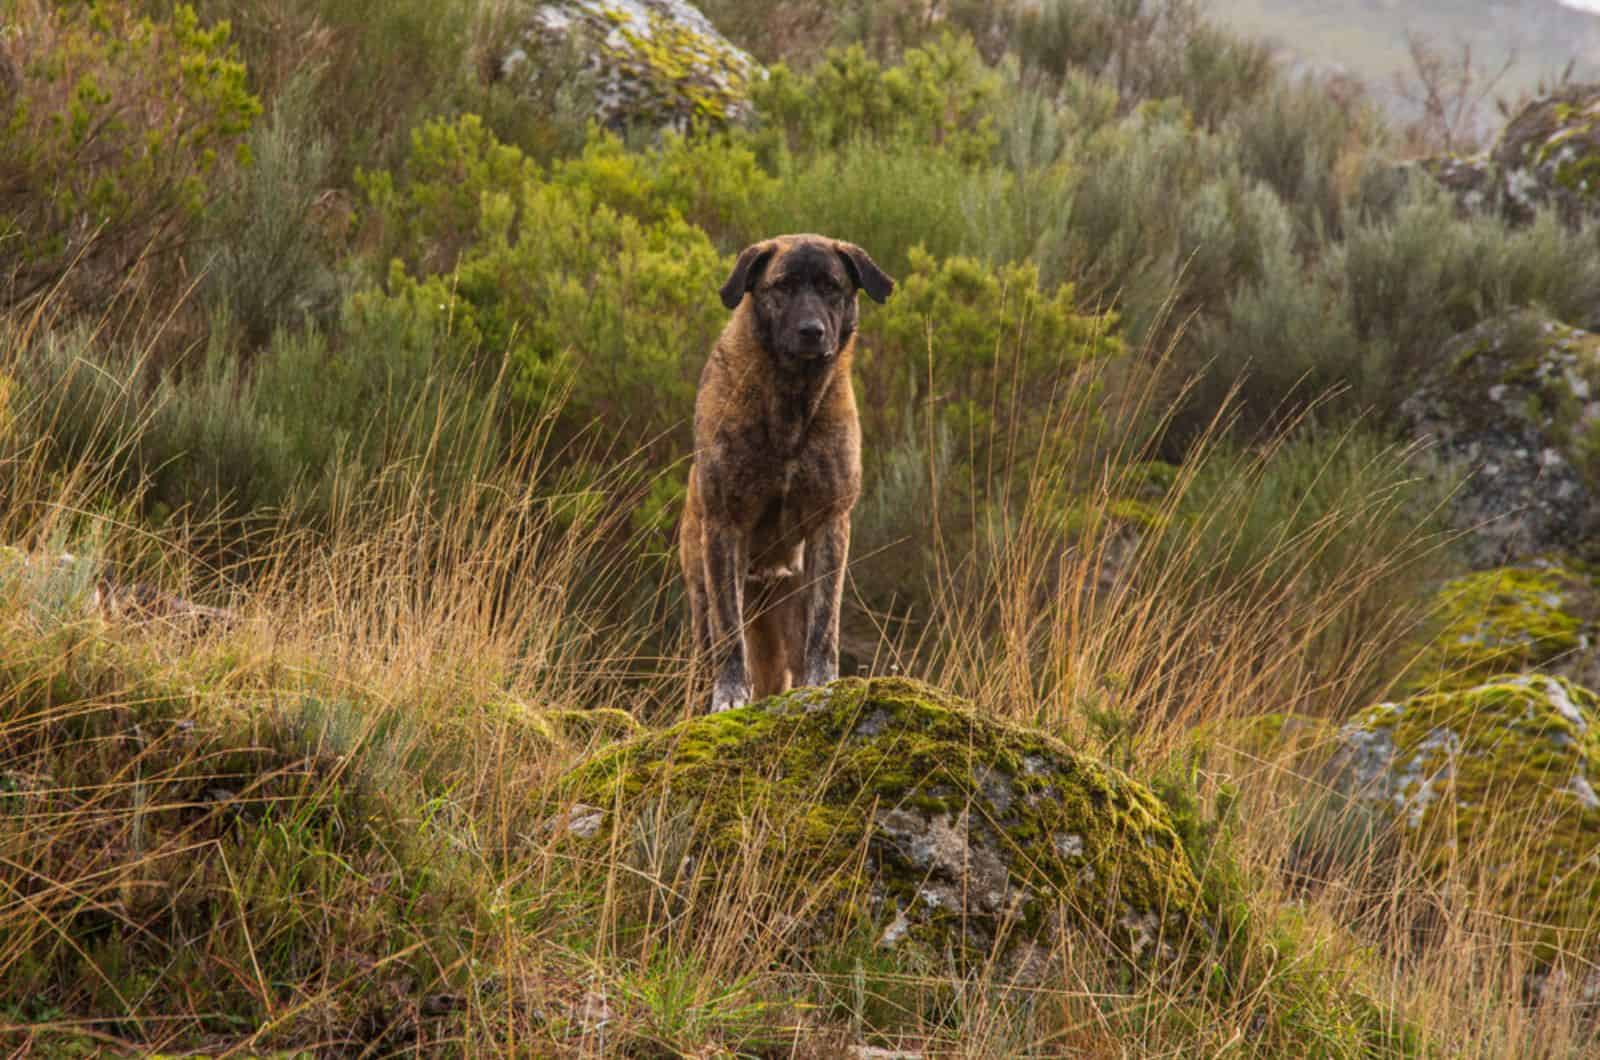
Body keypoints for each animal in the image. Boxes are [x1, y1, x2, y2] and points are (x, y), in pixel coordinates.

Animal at [681, 233, 896, 714]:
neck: (790, 403)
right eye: (782, 286)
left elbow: (825, 627)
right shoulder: (725, 527)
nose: (812, 331)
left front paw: (822, 684)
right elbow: (730, 633)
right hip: (702, 598)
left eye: (832, 287)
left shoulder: (829, 524)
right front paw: (730, 695)